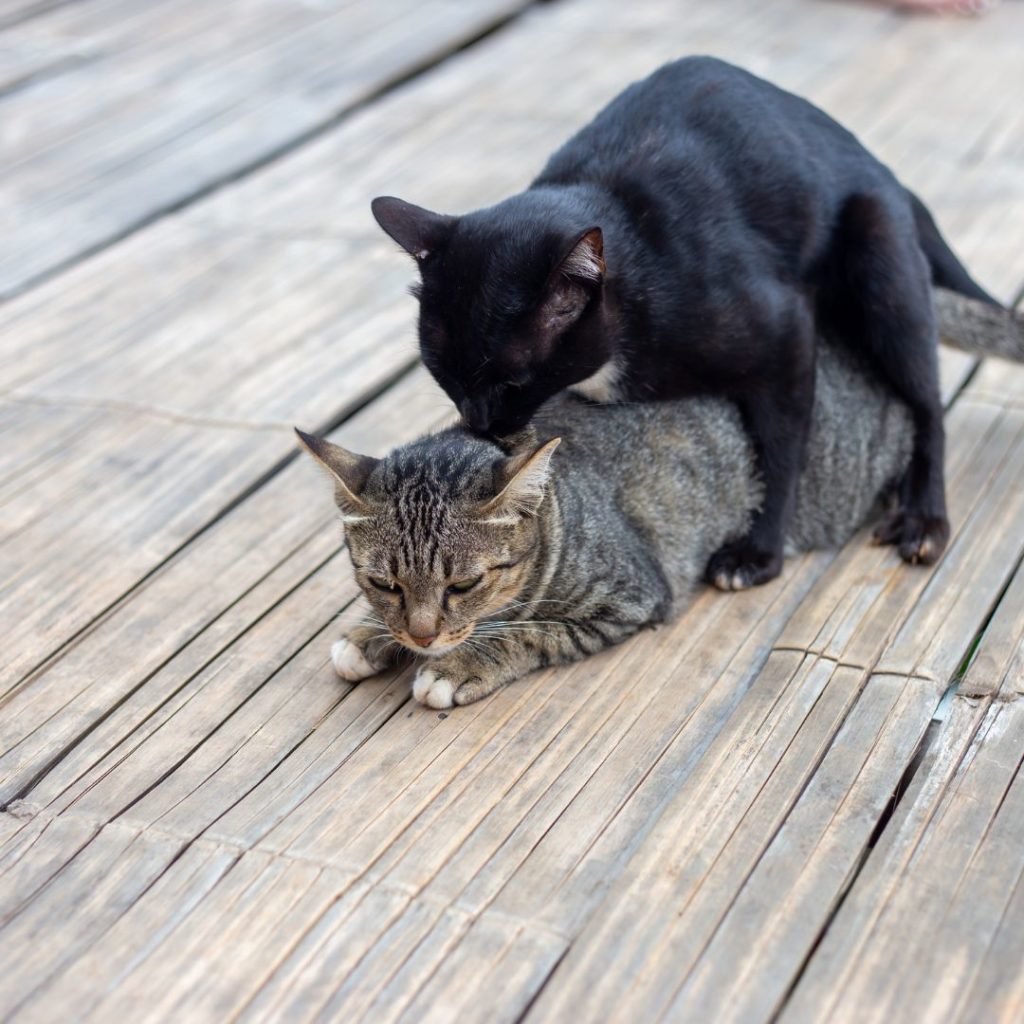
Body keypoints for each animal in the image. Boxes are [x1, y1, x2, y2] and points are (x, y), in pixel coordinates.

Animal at [299, 288, 1019, 704]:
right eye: (384, 583)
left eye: (463, 585)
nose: (421, 634)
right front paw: (370, 635)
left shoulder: (630, 596)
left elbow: (531, 633)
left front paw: (457, 664)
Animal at [372, 56, 995, 589]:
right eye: (443, 378)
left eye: (511, 383)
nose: (479, 422)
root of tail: (881, 167)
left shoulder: (787, 335)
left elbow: (781, 452)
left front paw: (758, 552)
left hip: (881, 262)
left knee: (927, 406)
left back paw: (925, 518)